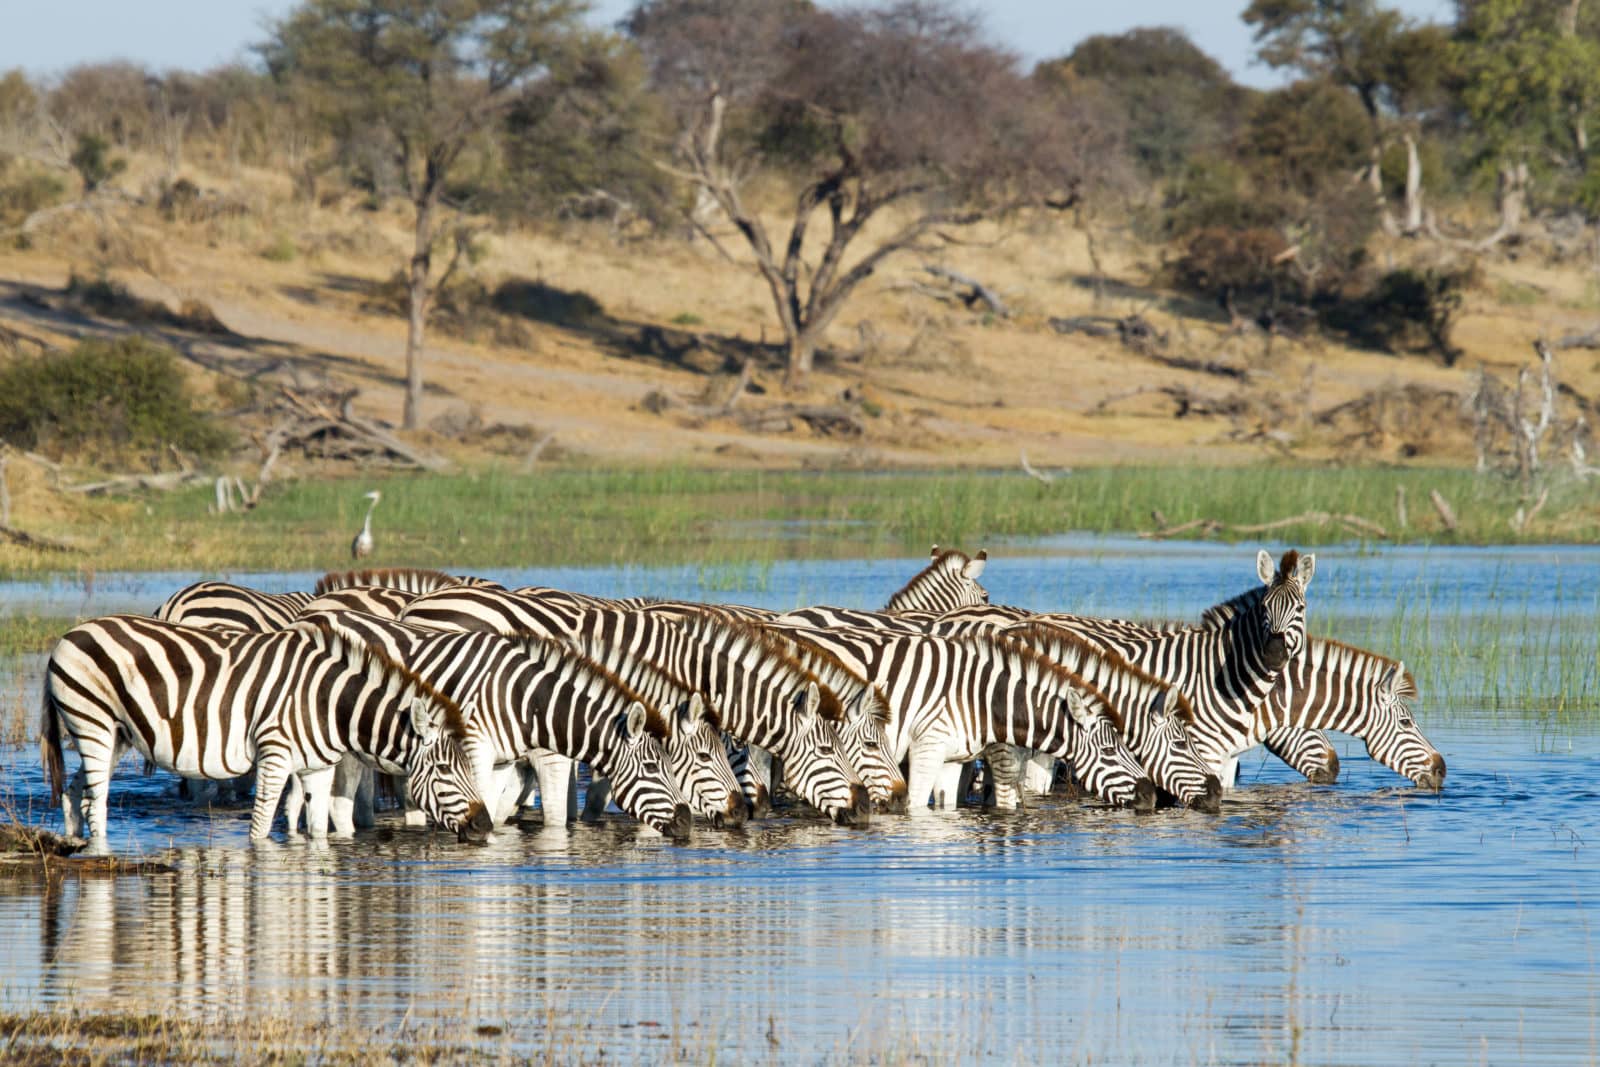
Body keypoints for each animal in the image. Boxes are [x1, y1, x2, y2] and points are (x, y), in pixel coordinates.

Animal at [41, 615, 494, 846]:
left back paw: (75, 844)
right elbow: (260, 828)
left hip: (116, 735)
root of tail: (72, 633)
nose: (485, 826)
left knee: (76, 791)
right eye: (445, 770)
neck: (329, 703)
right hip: (93, 722)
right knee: (97, 803)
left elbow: (317, 829)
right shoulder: (274, 755)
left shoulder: (318, 767)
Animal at [293, 611, 705, 837]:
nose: (686, 822)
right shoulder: (478, 753)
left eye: (673, 764)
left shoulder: (505, 762)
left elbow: (498, 808)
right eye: (652, 767)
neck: (526, 701)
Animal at [776, 624, 1156, 813]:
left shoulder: (953, 759)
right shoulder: (928, 747)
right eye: (1110, 752)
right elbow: (918, 804)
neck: (980, 697)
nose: (1151, 795)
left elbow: (947, 807)